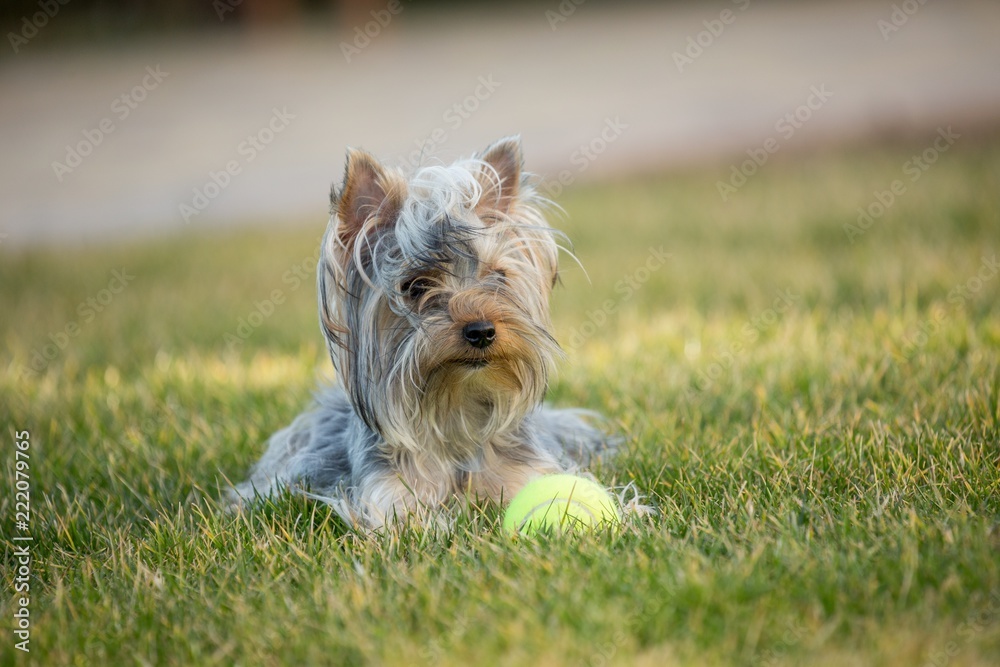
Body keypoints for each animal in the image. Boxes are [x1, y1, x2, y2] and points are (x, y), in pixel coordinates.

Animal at [231, 137, 612, 532]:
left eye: (498, 276)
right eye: (415, 286)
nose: (481, 331)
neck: (456, 411)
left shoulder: (525, 471)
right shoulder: (388, 496)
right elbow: (412, 524)